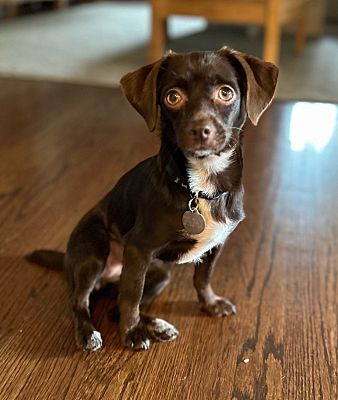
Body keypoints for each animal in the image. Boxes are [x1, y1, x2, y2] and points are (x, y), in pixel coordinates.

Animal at [27, 47, 278, 352]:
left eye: (226, 92)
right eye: (172, 97)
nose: (200, 130)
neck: (200, 187)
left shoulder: (216, 244)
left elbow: (202, 277)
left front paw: (210, 303)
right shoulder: (138, 249)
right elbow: (131, 297)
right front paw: (131, 335)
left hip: (159, 274)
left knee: (113, 307)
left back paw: (158, 326)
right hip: (94, 250)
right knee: (81, 301)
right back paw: (90, 333)